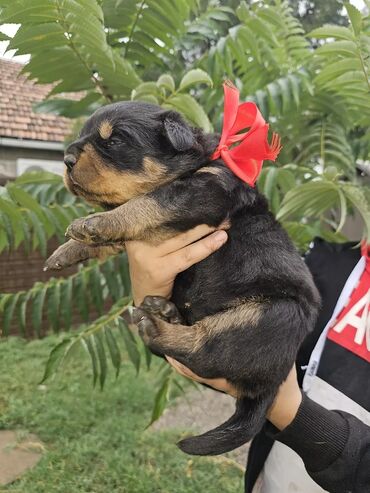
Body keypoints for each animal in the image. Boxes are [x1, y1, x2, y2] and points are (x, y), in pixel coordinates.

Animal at [45, 101, 320, 458]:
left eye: (114, 141)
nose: (66, 159)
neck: (196, 162)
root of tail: (268, 386)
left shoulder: (205, 191)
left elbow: (147, 203)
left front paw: (93, 222)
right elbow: (119, 231)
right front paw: (66, 250)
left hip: (272, 316)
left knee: (206, 350)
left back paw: (157, 327)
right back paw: (165, 311)